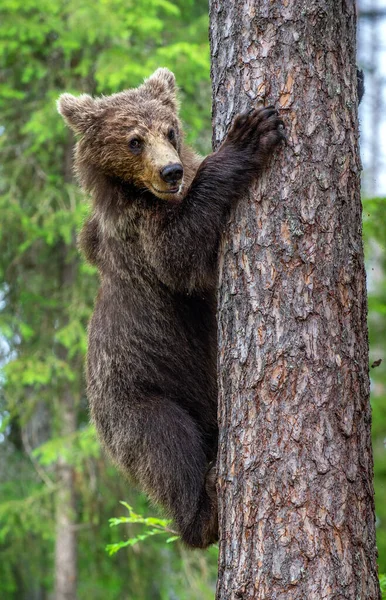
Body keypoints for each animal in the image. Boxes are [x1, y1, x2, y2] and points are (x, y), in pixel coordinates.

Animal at [58, 68, 284, 548]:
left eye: (170, 131)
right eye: (133, 140)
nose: (171, 170)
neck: (141, 194)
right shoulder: (141, 239)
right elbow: (181, 255)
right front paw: (249, 134)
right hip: (137, 401)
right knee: (167, 448)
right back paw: (205, 508)